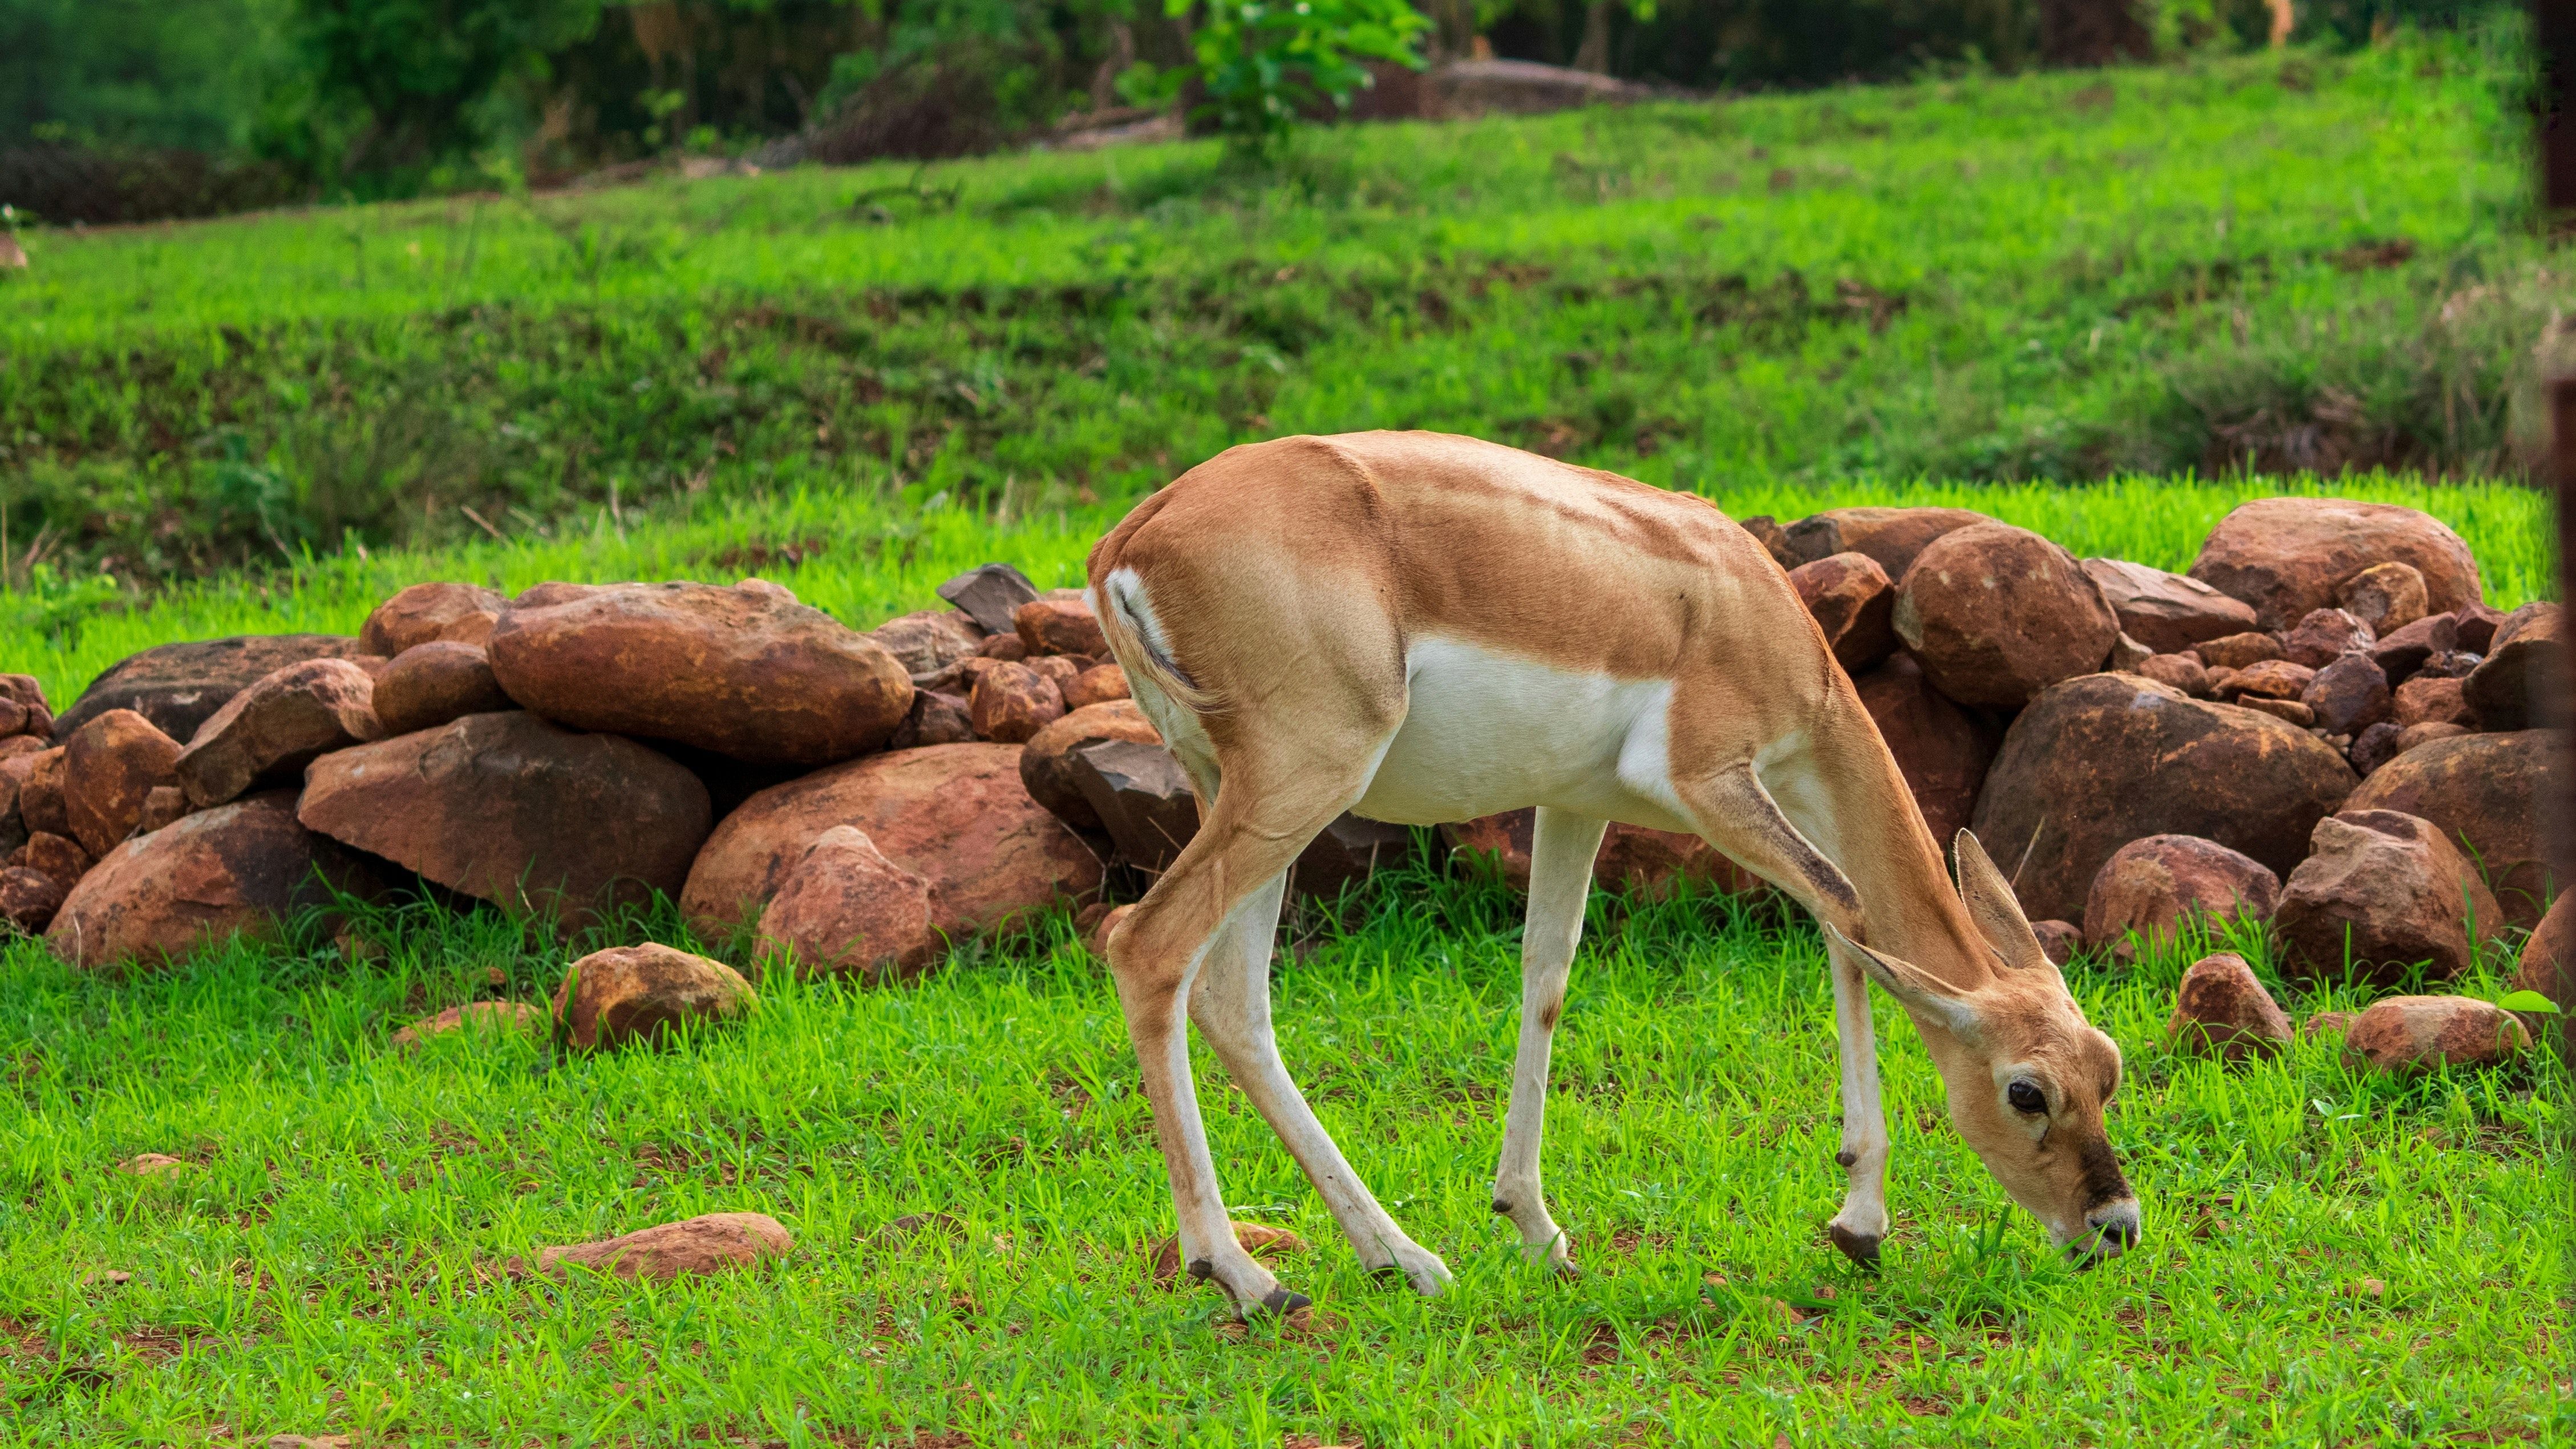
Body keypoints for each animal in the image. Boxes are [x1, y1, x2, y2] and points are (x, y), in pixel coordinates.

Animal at [1085, 430, 2139, 1317]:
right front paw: (1859, 1221)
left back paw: (1405, 1259)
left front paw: (1535, 1229)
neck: (1741, 603)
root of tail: (1133, 538)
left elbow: (1546, 976)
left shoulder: (1574, 805)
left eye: (2108, 1068)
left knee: (1233, 1001)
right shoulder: (1710, 785)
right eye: (2026, 1091)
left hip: (1243, 792)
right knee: (1145, 946)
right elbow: (1843, 909)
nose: (2116, 1226)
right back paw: (1244, 1274)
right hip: (1301, 781)